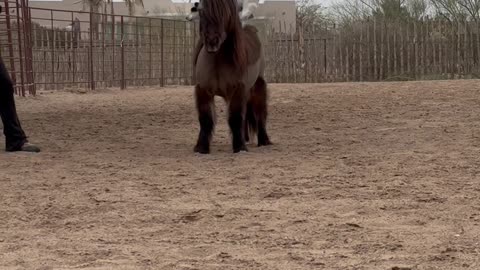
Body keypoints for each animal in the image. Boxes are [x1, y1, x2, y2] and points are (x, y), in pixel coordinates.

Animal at [193, 0, 272, 154]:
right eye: (201, 11)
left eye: (225, 14)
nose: (212, 41)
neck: (217, 60)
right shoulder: (203, 90)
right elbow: (205, 119)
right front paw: (201, 147)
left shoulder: (238, 90)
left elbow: (235, 118)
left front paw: (239, 147)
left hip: (258, 86)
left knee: (260, 112)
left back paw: (263, 140)